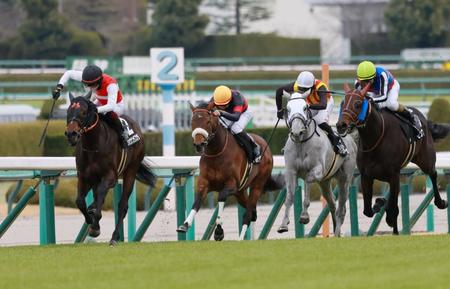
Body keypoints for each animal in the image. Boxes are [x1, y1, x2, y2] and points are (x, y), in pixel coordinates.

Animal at [65, 91, 156, 244]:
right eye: (68, 111)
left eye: (83, 112)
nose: (71, 134)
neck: (93, 146)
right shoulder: (84, 177)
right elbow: (80, 201)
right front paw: (90, 218)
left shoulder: (110, 177)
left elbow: (101, 195)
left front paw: (95, 227)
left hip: (131, 171)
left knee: (122, 205)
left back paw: (114, 237)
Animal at [175, 102, 282, 240]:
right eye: (192, 121)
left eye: (208, 121)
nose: (199, 144)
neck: (216, 153)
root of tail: (266, 146)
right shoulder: (204, 182)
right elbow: (197, 201)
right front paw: (185, 225)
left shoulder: (231, 185)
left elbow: (221, 197)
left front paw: (219, 231)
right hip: (240, 192)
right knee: (251, 211)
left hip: (257, 185)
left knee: (248, 212)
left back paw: (240, 238)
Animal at [276, 93, 356, 235]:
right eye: (288, 109)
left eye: (304, 108)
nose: (296, 132)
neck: (302, 143)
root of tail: (350, 138)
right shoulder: (291, 171)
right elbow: (289, 197)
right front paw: (283, 224)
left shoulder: (317, 170)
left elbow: (308, 183)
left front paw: (304, 216)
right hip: (325, 182)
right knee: (332, 204)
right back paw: (335, 229)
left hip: (344, 179)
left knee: (341, 207)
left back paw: (337, 232)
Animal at [336, 84, 448, 234]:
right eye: (343, 103)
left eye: (358, 104)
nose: (340, 125)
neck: (375, 139)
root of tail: (422, 117)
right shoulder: (366, 176)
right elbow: (367, 210)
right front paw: (379, 203)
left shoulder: (394, 175)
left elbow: (394, 208)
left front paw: (391, 222)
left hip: (426, 159)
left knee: (433, 174)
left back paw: (441, 202)